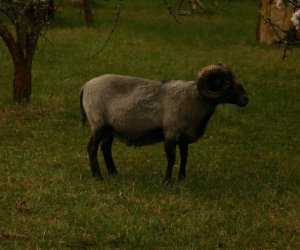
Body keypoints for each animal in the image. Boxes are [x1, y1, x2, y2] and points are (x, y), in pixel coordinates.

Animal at [80, 63, 248, 183]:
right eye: (227, 84)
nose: (246, 99)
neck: (194, 99)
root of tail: (85, 86)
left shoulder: (183, 137)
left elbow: (185, 156)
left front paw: (182, 178)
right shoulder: (171, 133)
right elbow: (171, 157)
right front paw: (166, 180)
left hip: (109, 128)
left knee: (105, 148)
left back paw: (114, 173)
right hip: (98, 124)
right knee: (92, 148)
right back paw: (98, 177)